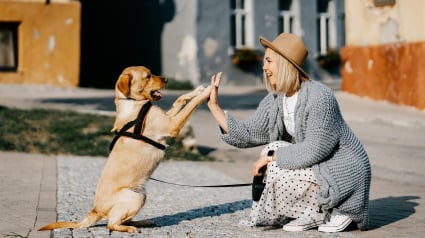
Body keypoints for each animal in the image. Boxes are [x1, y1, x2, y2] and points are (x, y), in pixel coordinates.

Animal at [39, 65, 211, 232]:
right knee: (111, 224)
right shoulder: (171, 125)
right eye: (148, 76)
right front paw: (207, 92)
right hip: (134, 196)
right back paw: (129, 228)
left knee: (122, 220)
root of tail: (95, 210)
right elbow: (192, 104)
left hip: (141, 195)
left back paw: (143, 222)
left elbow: (179, 100)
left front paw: (197, 90)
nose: (167, 80)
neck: (133, 103)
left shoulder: (168, 118)